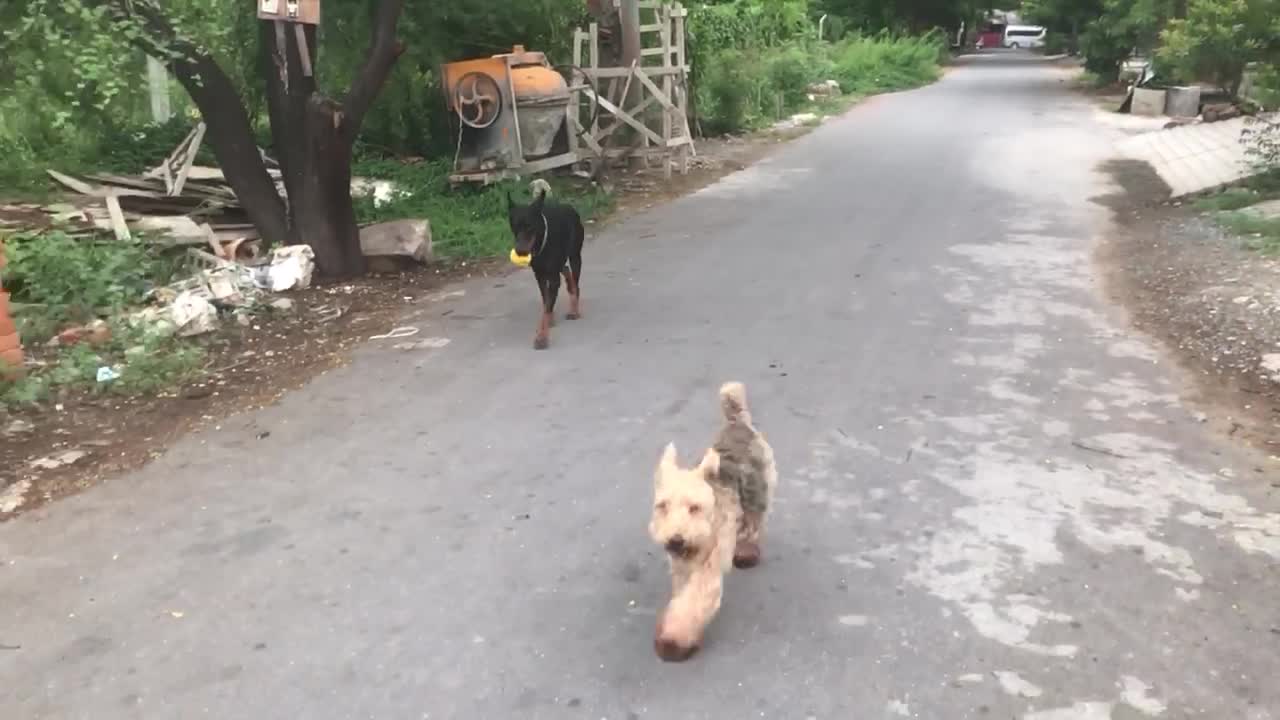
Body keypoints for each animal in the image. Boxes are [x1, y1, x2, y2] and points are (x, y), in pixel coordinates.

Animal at [512, 185, 586, 348]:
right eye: (514, 227)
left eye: (530, 227)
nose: (520, 251)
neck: (541, 245)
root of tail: (569, 206)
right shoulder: (539, 275)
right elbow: (546, 300)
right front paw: (549, 320)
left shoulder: (552, 278)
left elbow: (547, 305)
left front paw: (542, 337)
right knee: (565, 270)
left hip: (575, 255)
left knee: (575, 281)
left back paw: (574, 309)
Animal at [650, 381, 778, 661]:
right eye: (663, 506)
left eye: (694, 507)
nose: (676, 540)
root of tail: (737, 422)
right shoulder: (681, 569)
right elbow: (681, 598)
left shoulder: (708, 569)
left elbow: (693, 603)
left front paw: (675, 641)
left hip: (757, 494)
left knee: (753, 526)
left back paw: (746, 553)